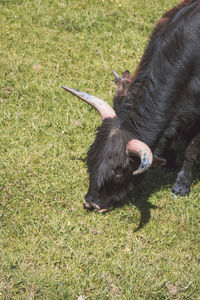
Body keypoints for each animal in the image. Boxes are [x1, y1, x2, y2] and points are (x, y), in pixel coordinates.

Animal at [62, 0, 200, 213]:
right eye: (90, 160)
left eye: (118, 173)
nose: (90, 202)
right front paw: (168, 161)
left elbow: (191, 151)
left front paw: (181, 186)